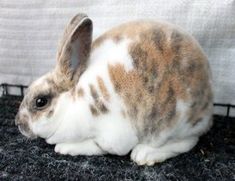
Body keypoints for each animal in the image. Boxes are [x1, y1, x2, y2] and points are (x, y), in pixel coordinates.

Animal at [14, 13, 213, 165]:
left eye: (40, 101)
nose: (18, 123)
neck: (73, 103)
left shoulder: (113, 138)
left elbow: (93, 147)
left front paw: (65, 147)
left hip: (174, 125)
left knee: (187, 142)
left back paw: (144, 155)